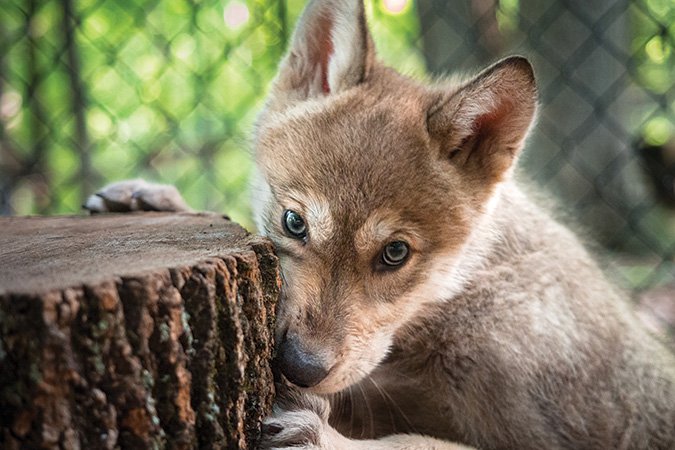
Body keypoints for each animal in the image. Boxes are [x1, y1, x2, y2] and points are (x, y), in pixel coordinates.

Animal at [88, 0, 675, 448]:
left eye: (395, 254)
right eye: (293, 223)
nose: (298, 367)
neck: (459, 299)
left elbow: (414, 443)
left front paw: (321, 438)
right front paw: (154, 198)